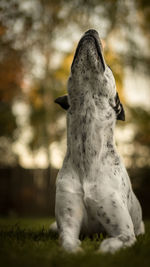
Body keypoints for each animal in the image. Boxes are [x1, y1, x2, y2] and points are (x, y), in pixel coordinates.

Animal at [51, 29, 144, 255]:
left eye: (108, 66)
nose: (91, 30)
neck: (88, 156)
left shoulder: (124, 232)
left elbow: (110, 243)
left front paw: (100, 251)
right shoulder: (67, 224)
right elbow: (67, 241)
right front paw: (75, 250)